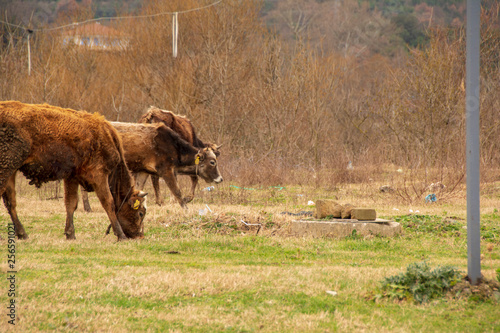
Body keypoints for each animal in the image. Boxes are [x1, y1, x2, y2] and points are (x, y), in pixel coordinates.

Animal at [0, 100, 147, 240]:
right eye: (141, 213)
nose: (140, 236)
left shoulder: (72, 177)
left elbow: (71, 203)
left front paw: (70, 234)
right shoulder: (99, 175)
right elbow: (108, 202)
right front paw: (121, 235)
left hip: (12, 170)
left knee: (10, 201)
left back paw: (22, 234)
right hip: (7, 168)